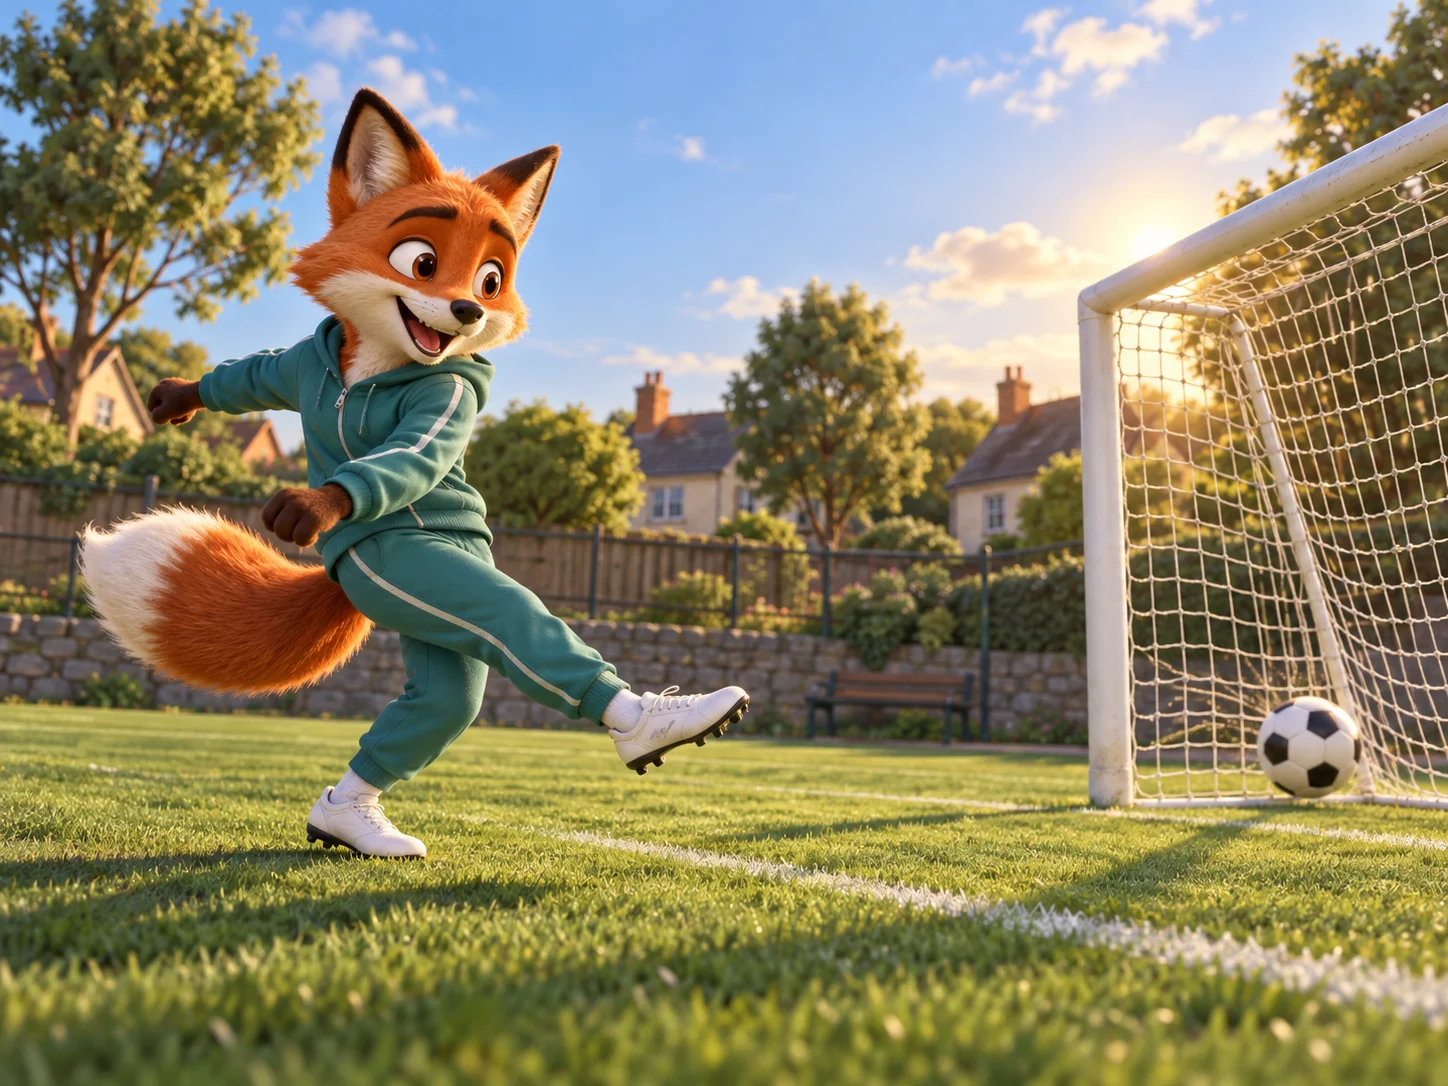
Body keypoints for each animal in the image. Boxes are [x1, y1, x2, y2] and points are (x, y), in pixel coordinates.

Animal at [80, 88, 749, 858]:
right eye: (421, 261)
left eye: (492, 278)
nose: (468, 309)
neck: (371, 365)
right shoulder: (303, 362)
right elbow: (254, 372)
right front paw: (182, 398)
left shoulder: (447, 396)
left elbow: (402, 455)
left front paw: (311, 500)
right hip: (413, 576)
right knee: (484, 650)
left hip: (435, 607)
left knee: (447, 695)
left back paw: (352, 819)